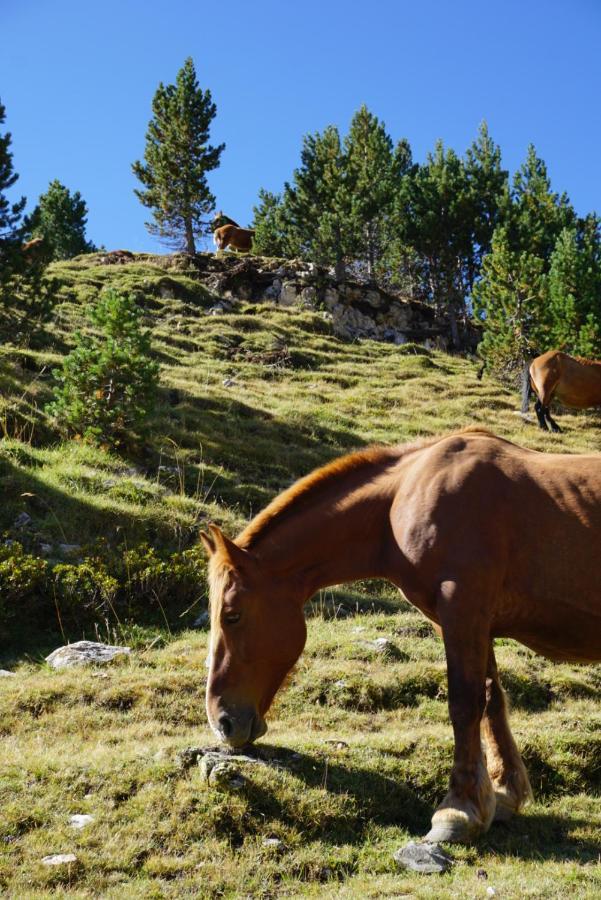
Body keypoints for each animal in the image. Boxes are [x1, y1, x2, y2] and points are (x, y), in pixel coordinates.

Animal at [200, 428, 600, 844]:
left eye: (232, 615)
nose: (221, 721)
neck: (402, 498)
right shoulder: (467, 621)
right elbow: (490, 700)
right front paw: (504, 793)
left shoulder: (462, 611)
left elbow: (464, 704)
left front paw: (458, 811)